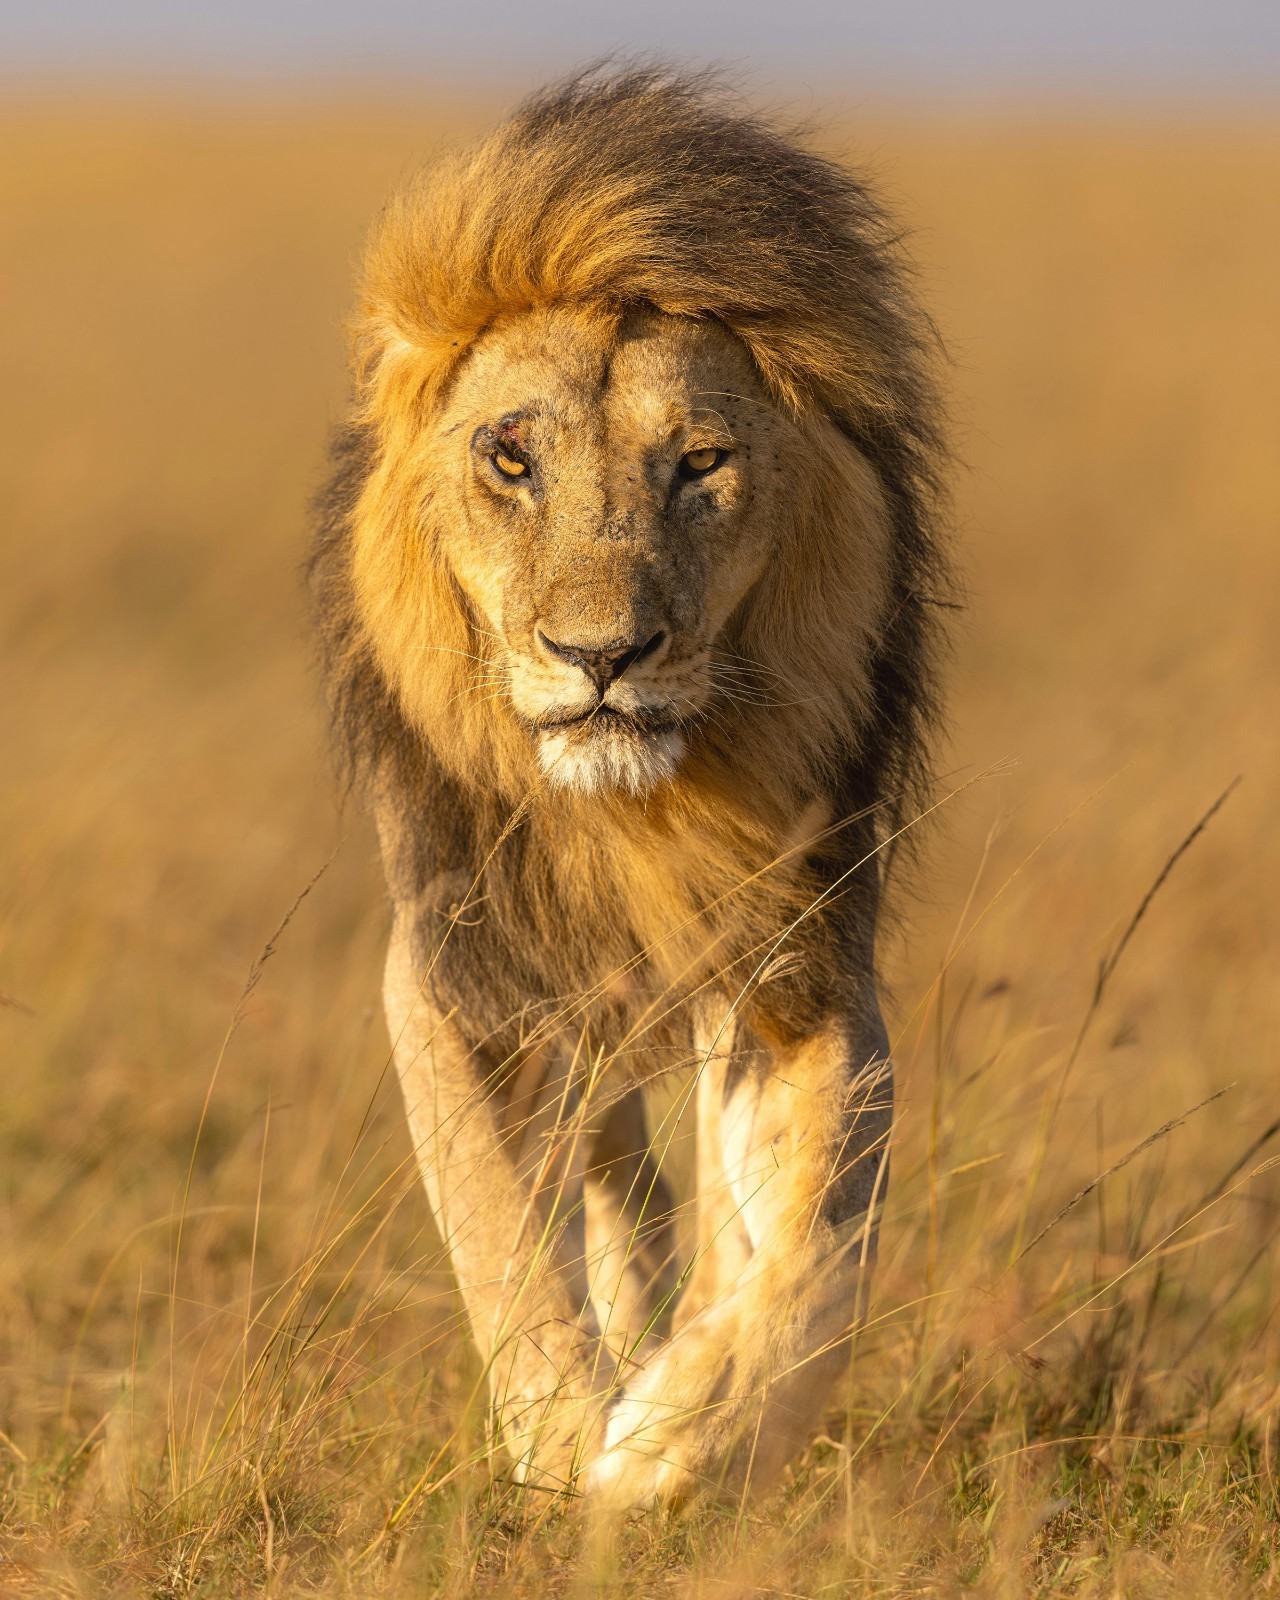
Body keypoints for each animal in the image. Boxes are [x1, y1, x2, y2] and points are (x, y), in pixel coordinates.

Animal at [308, 66, 948, 1510]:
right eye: (510, 457)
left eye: (699, 463)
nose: (601, 655)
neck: (632, 816)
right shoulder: (457, 976)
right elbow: (499, 1237)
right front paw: (562, 1444)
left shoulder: (803, 976)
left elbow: (812, 1252)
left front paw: (674, 1443)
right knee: (609, 1188)